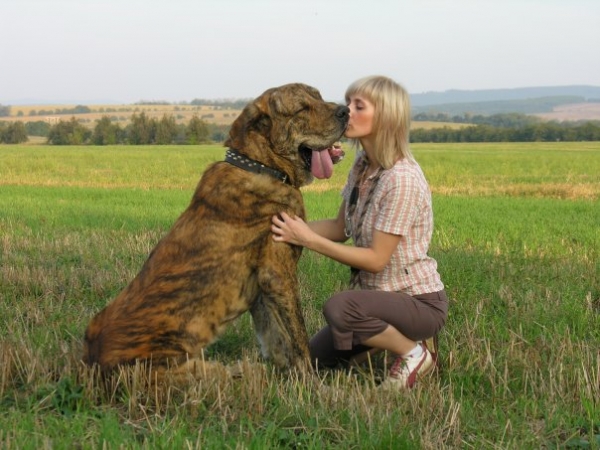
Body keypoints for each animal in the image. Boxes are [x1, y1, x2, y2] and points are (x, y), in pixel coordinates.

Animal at [82, 83, 350, 376]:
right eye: (302, 108)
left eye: (319, 97)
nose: (346, 111)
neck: (262, 167)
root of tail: (90, 360)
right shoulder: (277, 274)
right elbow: (298, 337)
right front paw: (310, 380)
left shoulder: (262, 287)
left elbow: (275, 336)